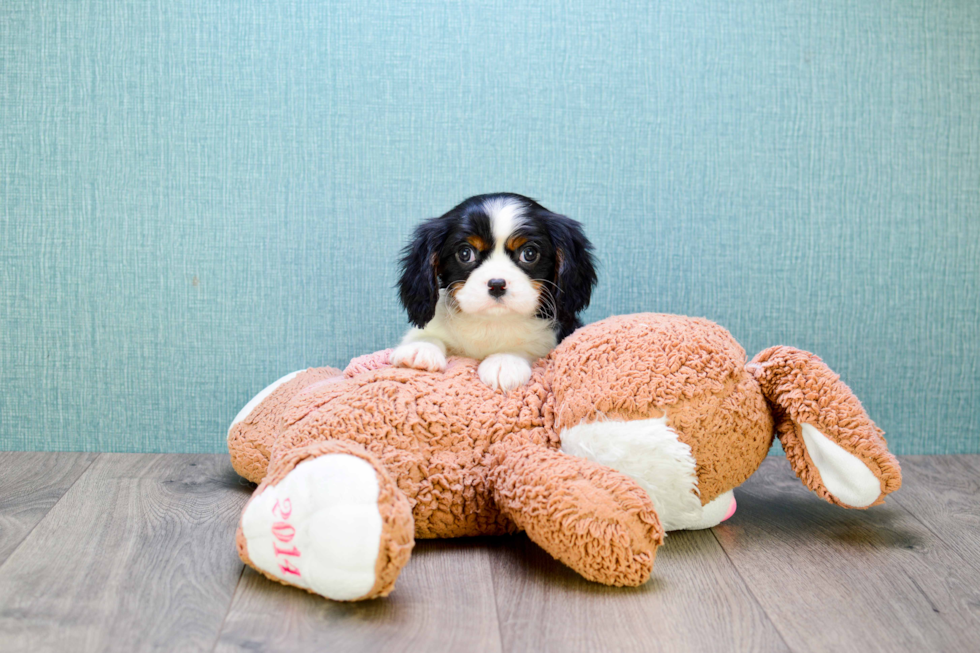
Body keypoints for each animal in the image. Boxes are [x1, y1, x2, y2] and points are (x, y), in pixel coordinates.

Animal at [392, 191, 596, 390]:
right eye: (465, 253)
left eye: (529, 253)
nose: (497, 284)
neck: (491, 322)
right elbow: (428, 335)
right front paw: (420, 347)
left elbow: (532, 346)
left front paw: (505, 361)